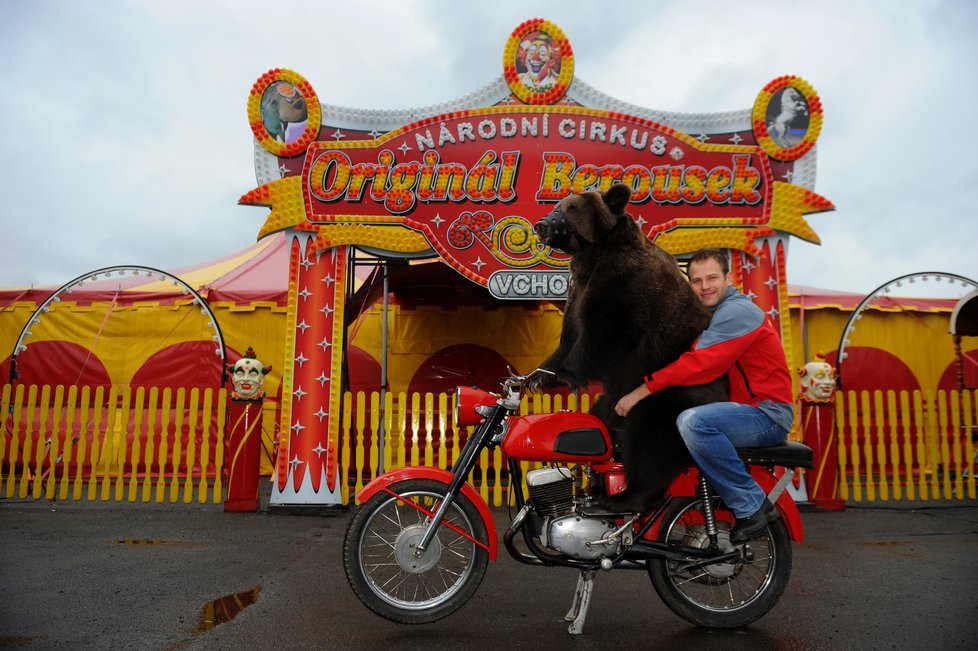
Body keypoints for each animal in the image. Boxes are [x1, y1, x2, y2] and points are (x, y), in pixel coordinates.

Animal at [528, 182, 728, 510]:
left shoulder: (622, 282)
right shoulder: (578, 288)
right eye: (557, 204)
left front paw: (559, 375)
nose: (541, 224)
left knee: (651, 442)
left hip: (671, 396)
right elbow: (569, 337)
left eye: (570, 207)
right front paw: (536, 376)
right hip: (615, 397)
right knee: (604, 414)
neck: (593, 254)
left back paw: (628, 496)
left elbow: (604, 334)